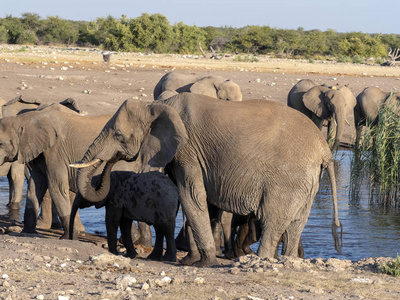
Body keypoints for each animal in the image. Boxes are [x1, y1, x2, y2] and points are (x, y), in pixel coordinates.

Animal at [73, 94, 342, 268]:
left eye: (118, 135)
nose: (113, 159)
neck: (156, 106)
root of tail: (324, 151)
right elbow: (197, 202)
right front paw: (192, 260)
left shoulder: (188, 150)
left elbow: (191, 196)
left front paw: (203, 264)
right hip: (307, 182)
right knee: (296, 224)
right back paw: (287, 261)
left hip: (288, 180)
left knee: (272, 221)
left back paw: (259, 262)